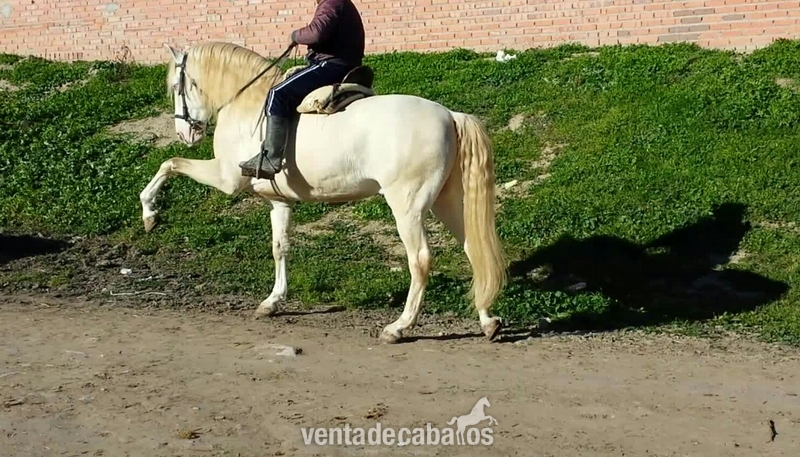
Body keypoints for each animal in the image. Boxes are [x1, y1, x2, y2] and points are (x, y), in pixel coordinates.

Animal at [140, 41, 507, 344]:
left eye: (177, 86)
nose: (184, 133)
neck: (247, 101)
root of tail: (450, 116)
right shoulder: (279, 202)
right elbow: (280, 248)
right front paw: (272, 302)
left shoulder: (225, 177)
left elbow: (169, 163)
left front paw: (149, 213)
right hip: (448, 203)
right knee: (474, 249)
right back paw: (487, 321)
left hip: (408, 208)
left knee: (420, 260)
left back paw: (399, 327)